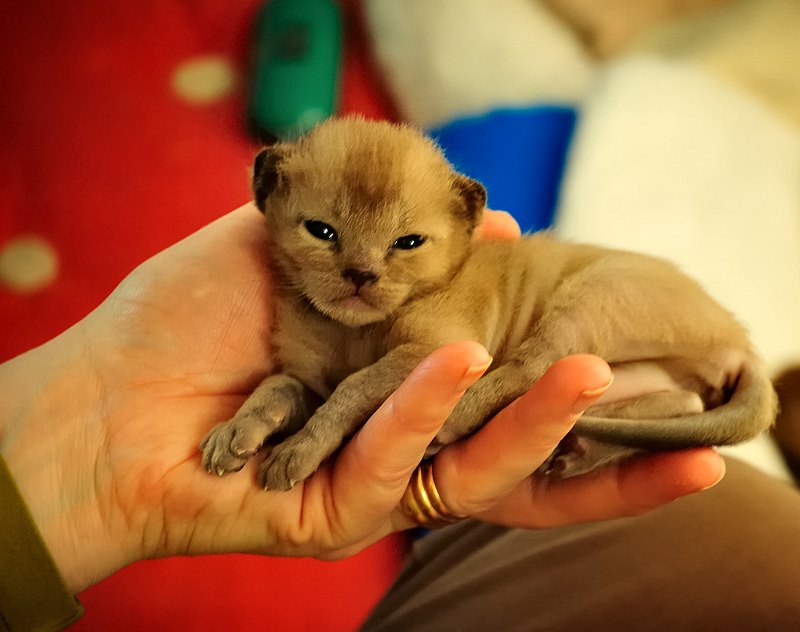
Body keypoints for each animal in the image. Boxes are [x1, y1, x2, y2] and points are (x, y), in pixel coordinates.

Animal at [198, 116, 776, 492]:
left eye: (408, 242)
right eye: (321, 231)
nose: (361, 275)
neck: (353, 329)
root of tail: (745, 345)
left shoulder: (433, 350)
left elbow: (352, 389)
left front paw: (298, 451)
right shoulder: (307, 380)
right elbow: (276, 387)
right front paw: (234, 435)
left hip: (593, 293)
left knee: (530, 368)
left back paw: (457, 422)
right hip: (637, 371)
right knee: (685, 403)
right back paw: (578, 450)